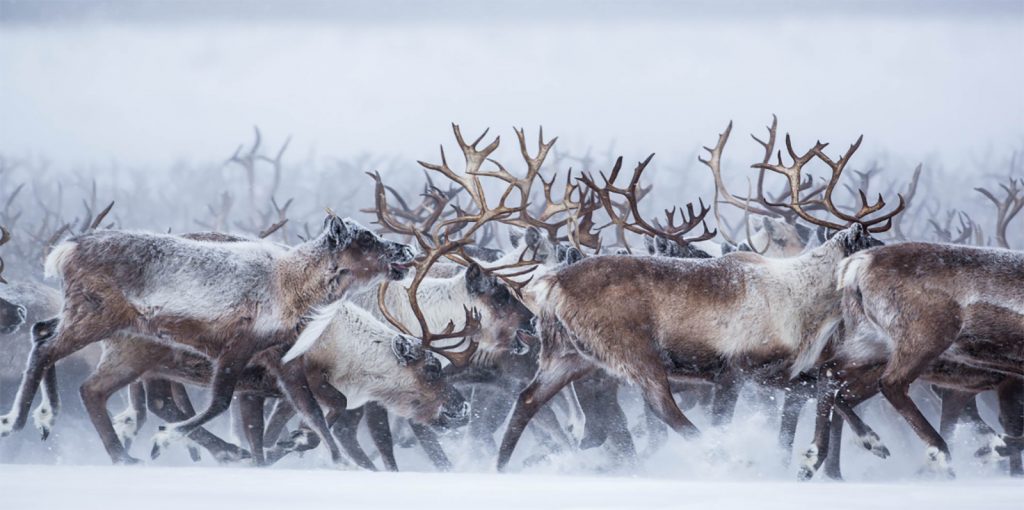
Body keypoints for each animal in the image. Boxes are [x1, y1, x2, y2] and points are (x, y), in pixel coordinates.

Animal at [0, 213, 416, 466]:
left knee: (64, 359)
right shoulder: (237, 347)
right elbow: (219, 403)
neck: (292, 286)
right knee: (47, 350)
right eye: (366, 239)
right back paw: (20, 420)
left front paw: (334, 458)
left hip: (107, 332)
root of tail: (64, 251)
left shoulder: (279, 355)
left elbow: (312, 409)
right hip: (96, 319)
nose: (407, 249)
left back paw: (111, 450)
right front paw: (166, 439)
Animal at [495, 123, 906, 471]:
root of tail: (549, 284)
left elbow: (825, 387)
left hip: (568, 355)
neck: (805, 304)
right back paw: (724, 458)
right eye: (873, 243)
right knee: (664, 409)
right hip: (634, 353)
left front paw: (874, 443)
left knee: (527, 400)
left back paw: (500, 467)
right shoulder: (734, 371)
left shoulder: (773, 371)